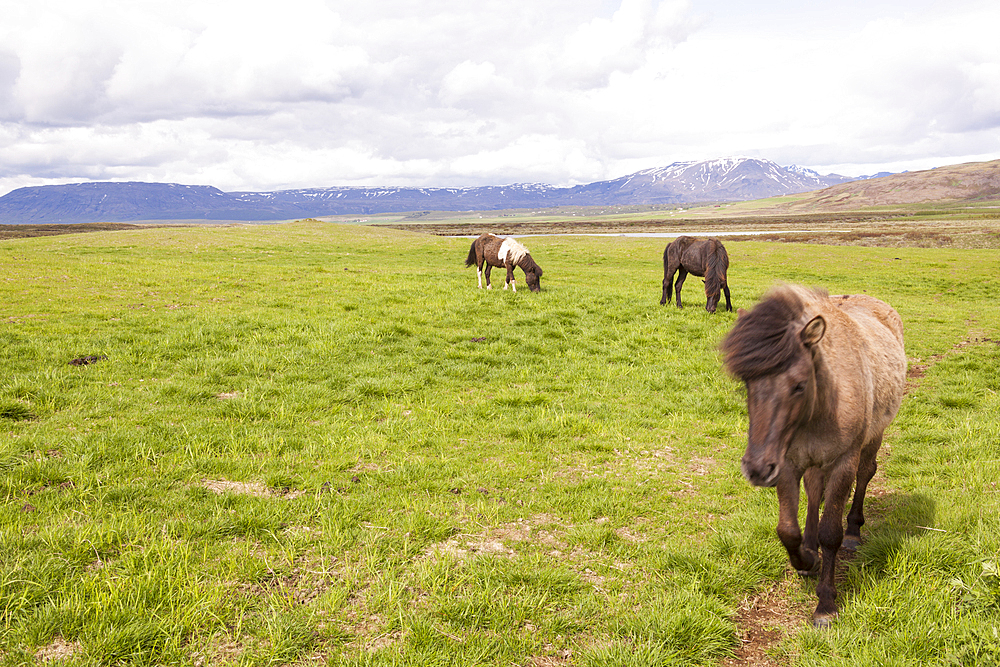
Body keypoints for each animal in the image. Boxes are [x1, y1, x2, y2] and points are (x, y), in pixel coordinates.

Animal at [720, 284, 908, 628]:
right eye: (746, 383)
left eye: (799, 385)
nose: (756, 469)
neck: (822, 406)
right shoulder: (787, 464)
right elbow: (787, 529)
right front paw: (806, 558)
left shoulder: (842, 463)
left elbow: (830, 532)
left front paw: (826, 604)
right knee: (813, 492)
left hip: (872, 439)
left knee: (865, 475)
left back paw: (854, 532)